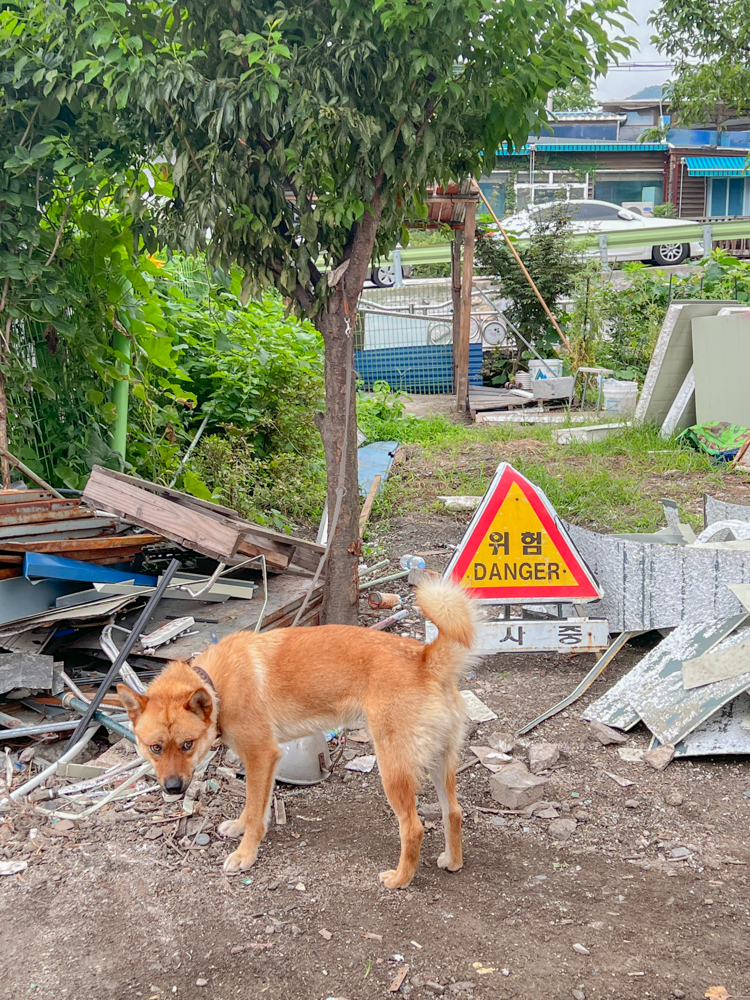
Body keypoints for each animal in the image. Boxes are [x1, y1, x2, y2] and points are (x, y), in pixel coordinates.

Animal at [120, 580, 478, 892]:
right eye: (155, 748)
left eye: (187, 745)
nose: (172, 788)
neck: (215, 684)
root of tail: (425, 659)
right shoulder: (265, 763)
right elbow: (255, 807)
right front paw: (240, 828)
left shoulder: (261, 756)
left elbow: (255, 810)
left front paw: (245, 854)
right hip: (439, 763)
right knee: (454, 812)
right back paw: (453, 861)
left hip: (393, 769)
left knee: (413, 828)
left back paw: (401, 878)